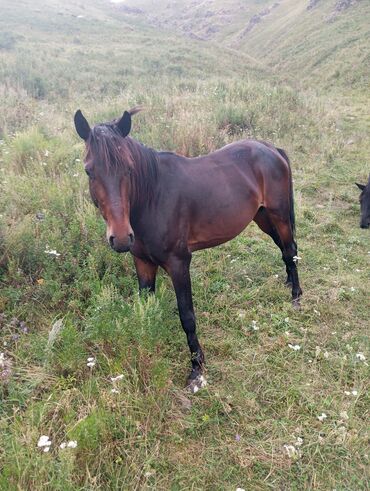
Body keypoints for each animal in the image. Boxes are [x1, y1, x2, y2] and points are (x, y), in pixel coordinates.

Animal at [73, 108, 302, 392]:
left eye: (128, 168)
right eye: (89, 171)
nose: (122, 238)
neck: (152, 197)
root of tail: (270, 148)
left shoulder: (179, 263)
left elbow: (187, 316)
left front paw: (196, 369)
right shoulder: (142, 262)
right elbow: (146, 308)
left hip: (278, 214)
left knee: (290, 249)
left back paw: (296, 296)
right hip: (262, 217)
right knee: (284, 250)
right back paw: (288, 281)